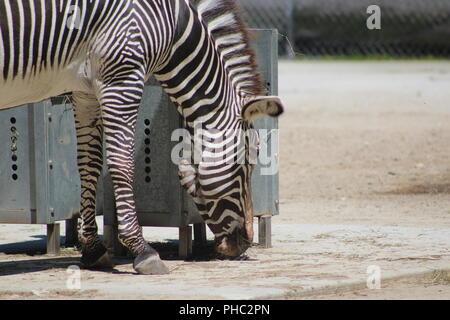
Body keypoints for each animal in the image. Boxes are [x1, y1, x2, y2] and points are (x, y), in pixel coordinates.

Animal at [0, 0, 284, 276]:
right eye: (248, 162)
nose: (245, 243)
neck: (171, 27)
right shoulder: (122, 79)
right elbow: (121, 163)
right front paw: (143, 250)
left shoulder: (85, 91)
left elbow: (89, 164)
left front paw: (93, 249)